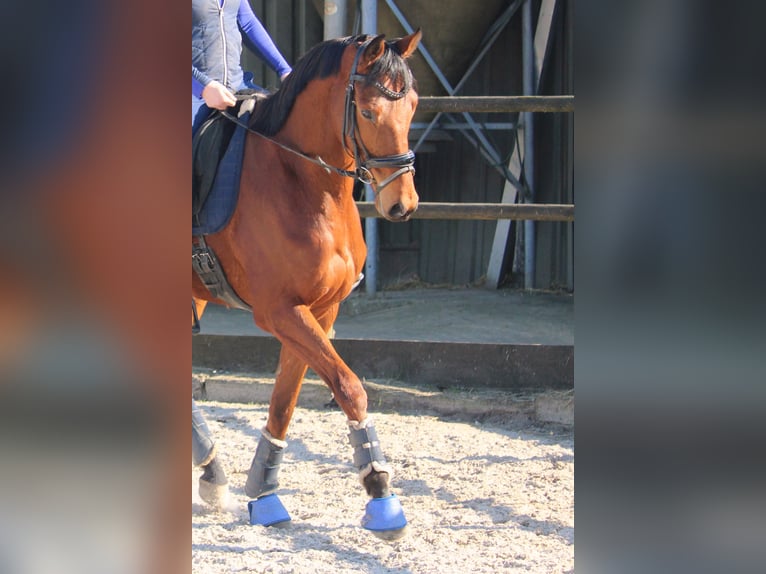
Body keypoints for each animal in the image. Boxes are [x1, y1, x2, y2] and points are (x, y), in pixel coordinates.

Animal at [190, 32, 420, 540]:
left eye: (413, 106)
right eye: (368, 112)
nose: (403, 204)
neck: (302, 182)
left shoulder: (318, 310)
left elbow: (285, 402)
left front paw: (264, 495)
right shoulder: (280, 311)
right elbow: (350, 387)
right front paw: (381, 494)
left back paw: (211, 470)